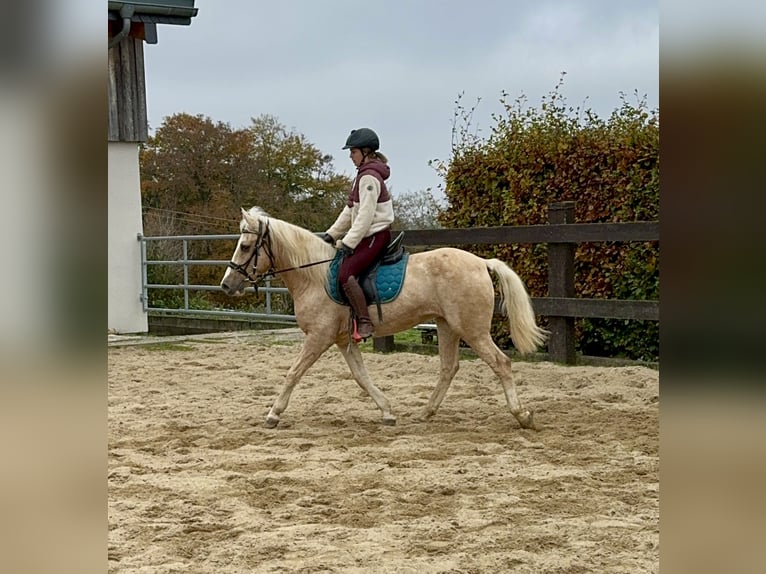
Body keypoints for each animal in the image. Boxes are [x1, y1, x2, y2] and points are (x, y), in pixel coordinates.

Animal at [219, 209, 548, 430]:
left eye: (245, 246)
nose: (226, 284)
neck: (315, 275)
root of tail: (481, 262)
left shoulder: (318, 337)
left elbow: (293, 372)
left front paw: (273, 414)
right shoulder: (343, 341)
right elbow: (361, 377)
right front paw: (387, 412)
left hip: (473, 330)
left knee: (501, 364)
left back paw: (522, 416)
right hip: (447, 326)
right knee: (448, 368)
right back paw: (426, 412)